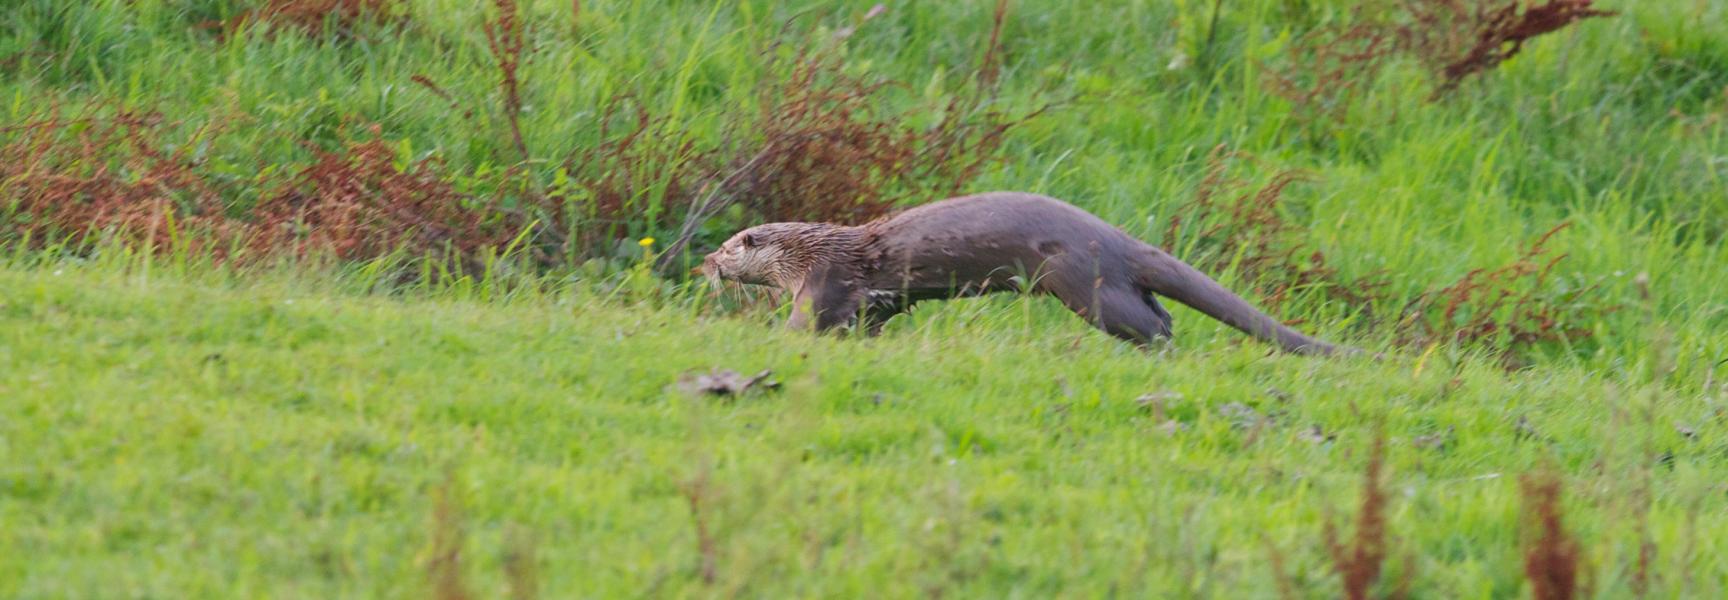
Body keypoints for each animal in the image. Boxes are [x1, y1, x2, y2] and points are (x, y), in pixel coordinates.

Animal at [701, 192, 1346, 355]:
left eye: (730, 248)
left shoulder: (822, 281)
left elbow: (805, 323)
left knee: (1153, 326)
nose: (705, 261)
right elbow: (868, 320)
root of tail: (1118, 238)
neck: (808, 252)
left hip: (1080, 282)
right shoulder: (874, 298)